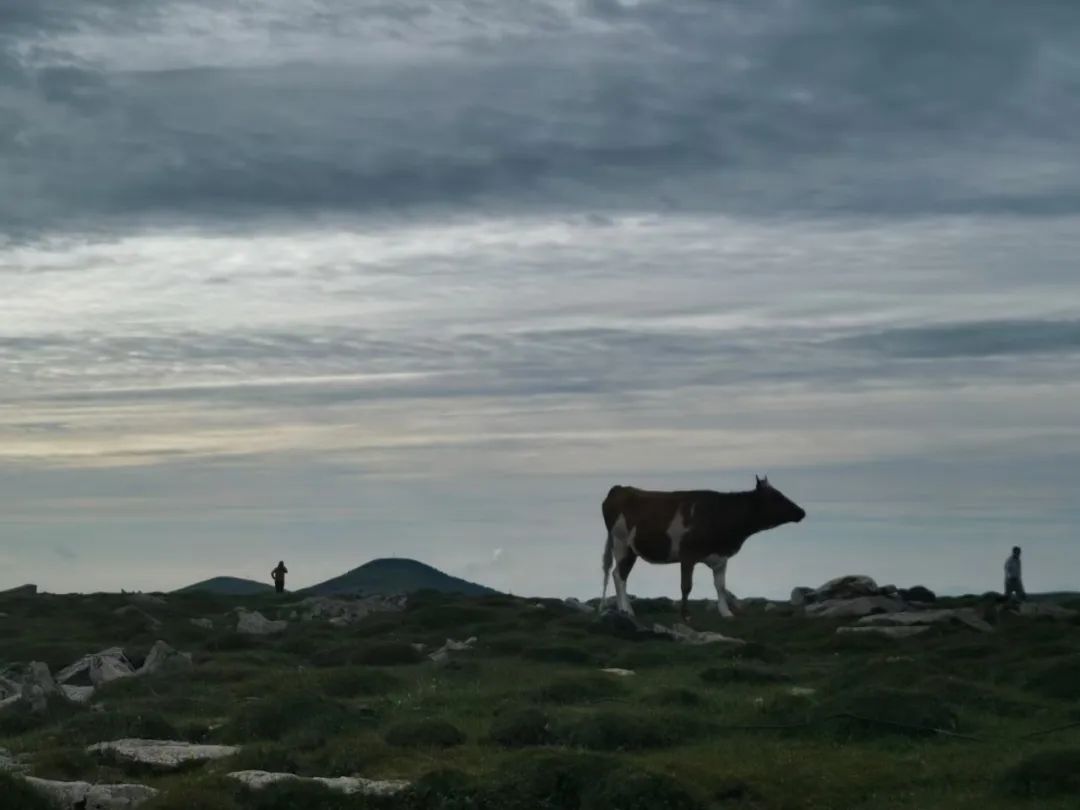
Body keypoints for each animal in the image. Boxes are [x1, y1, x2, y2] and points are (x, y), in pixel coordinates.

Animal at [604, 479, 807, 626]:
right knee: (620, 576)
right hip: (621, 543)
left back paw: (625, 611)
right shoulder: (688, 555)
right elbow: (686, 586)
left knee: (618, 574)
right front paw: (686, 616)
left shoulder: (721, 558)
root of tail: (619, 488)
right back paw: (626, 611)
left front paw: (726, 613)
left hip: (630, 550)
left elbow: (720, 586)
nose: (802, 512)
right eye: (776, 497)